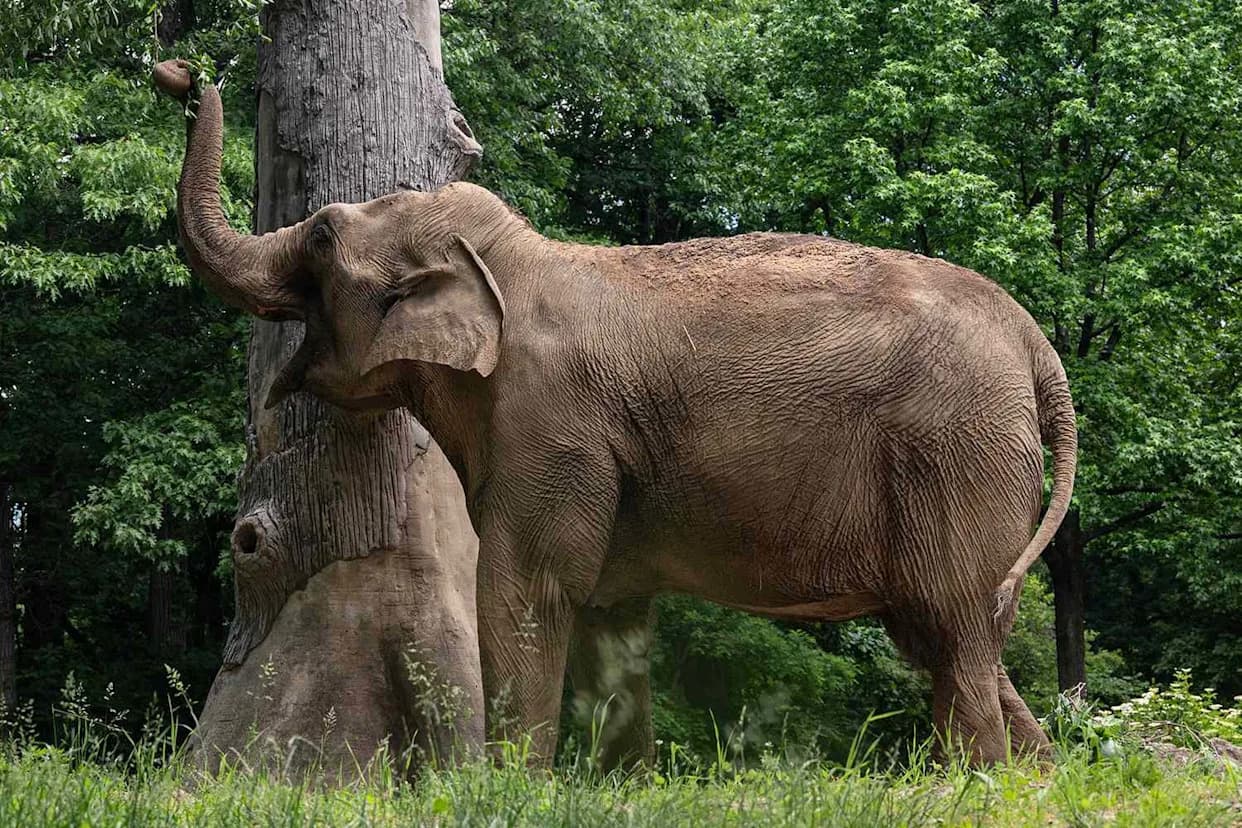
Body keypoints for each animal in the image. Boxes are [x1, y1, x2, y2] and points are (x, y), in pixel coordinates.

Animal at [154, 60, 1076, 768]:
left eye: (319, 237)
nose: (180, 73)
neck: (514, 263)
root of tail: (1034, 343)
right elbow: (607, 615)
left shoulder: (551, 427)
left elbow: (525, 593)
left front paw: (507, 791)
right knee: (952, 637)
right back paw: (1029, 782)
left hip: (954, 454)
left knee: (955, 630)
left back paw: (981, 788)